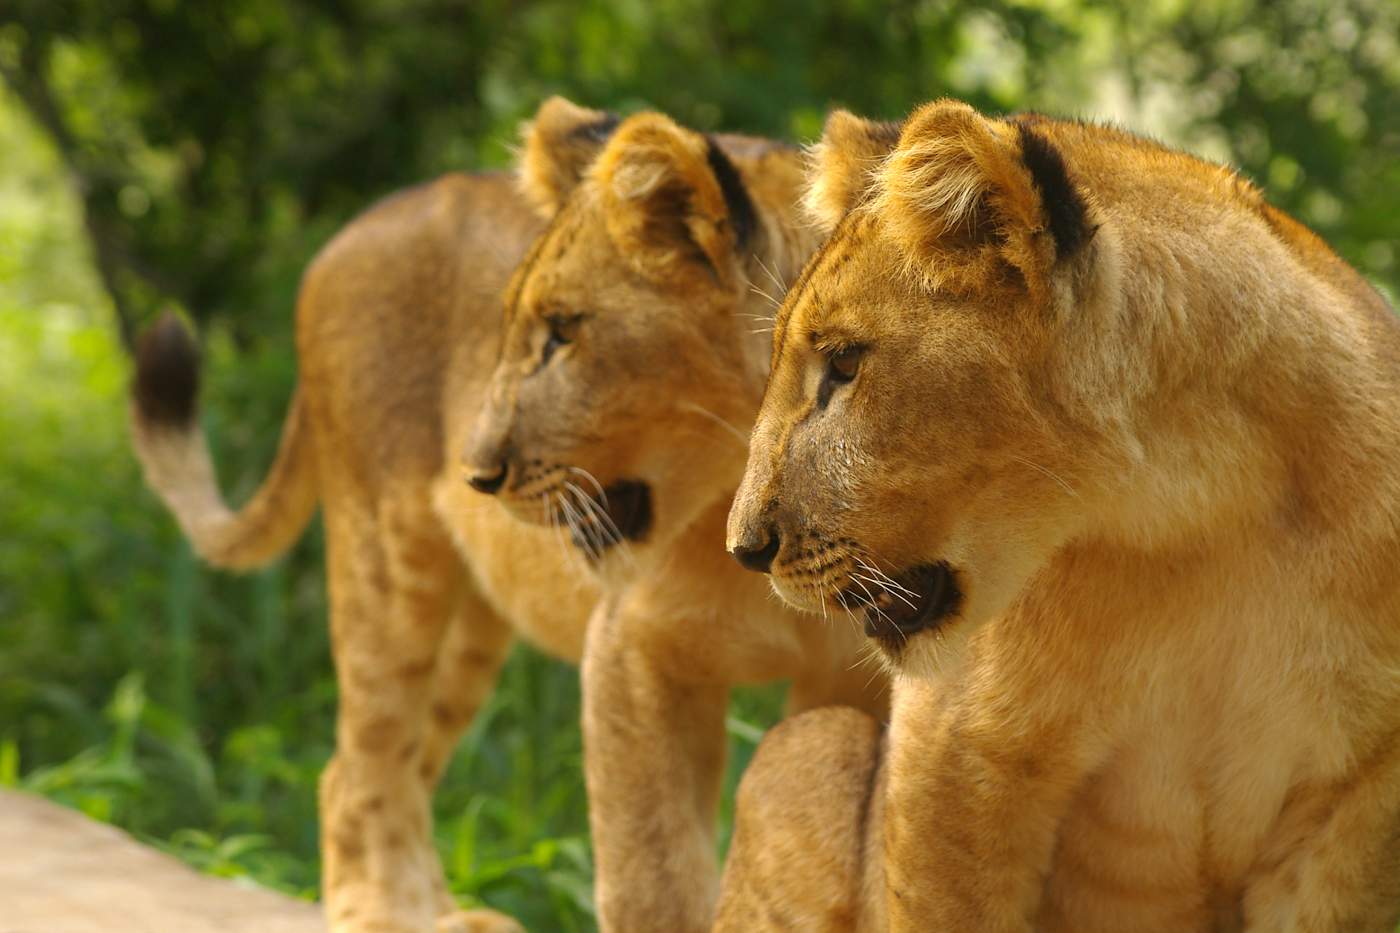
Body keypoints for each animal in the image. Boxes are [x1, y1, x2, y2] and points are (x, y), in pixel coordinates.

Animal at [131, 95, 884, 930]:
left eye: (563, 332)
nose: (477, 472)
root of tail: (350, 232)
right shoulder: (632, 653)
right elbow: (651, 875)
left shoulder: (852, 682)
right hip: (387, 561)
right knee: (360, 764)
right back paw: (381, 912)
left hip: (470, 630)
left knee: (408, 761)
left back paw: (449, 913)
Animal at [728, 98, 1400, 924]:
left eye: (845, 364)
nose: (744, 547)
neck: (1203, 520)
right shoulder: (957, 755)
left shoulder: (1359, 801)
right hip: (806, 747)